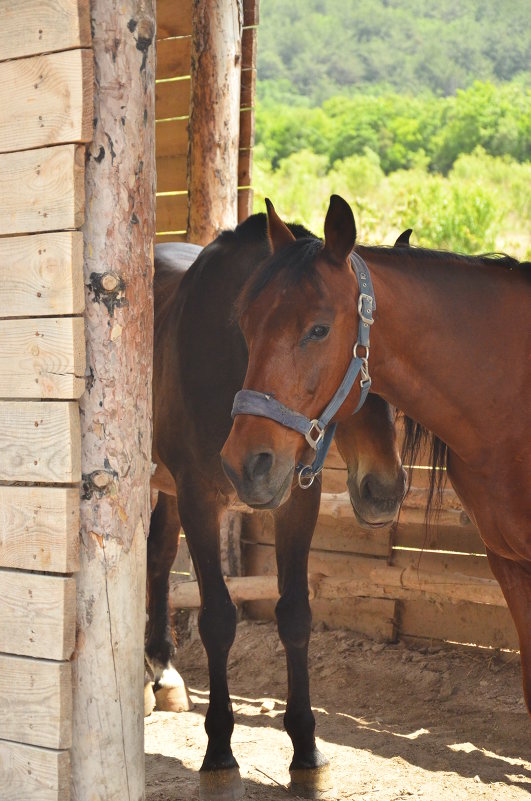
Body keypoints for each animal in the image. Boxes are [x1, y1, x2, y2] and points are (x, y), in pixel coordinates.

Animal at [148, 212, 406, 800]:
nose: (384, 490)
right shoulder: (199, 498)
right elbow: (218, 619)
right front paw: (219, 755)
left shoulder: (296, 502)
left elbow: (295, 615)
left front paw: (307, 750)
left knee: (156, 555)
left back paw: (164, 673)